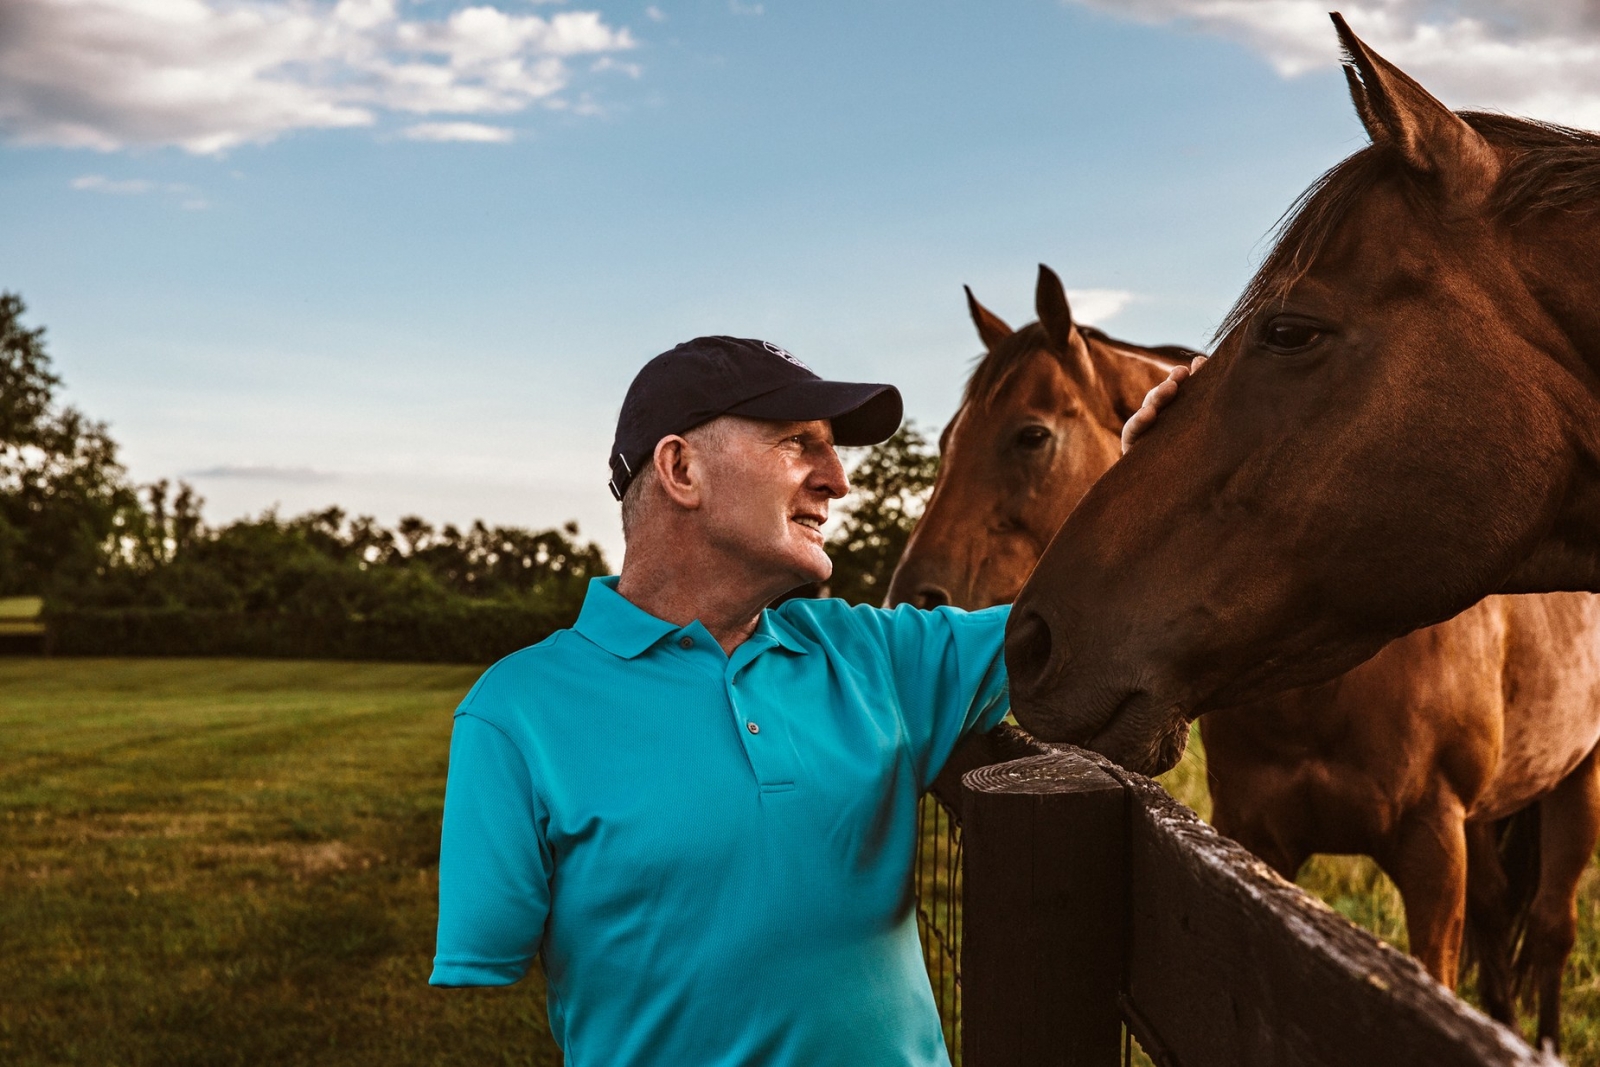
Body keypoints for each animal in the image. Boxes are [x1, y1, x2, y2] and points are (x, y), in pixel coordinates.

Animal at [896, 265, 1600, 1049]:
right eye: (950, 437)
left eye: (1030, 435)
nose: (910, 595)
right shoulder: (1252, 843)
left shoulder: (1432, 854)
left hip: (1577, 782)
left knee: (1550, 928)